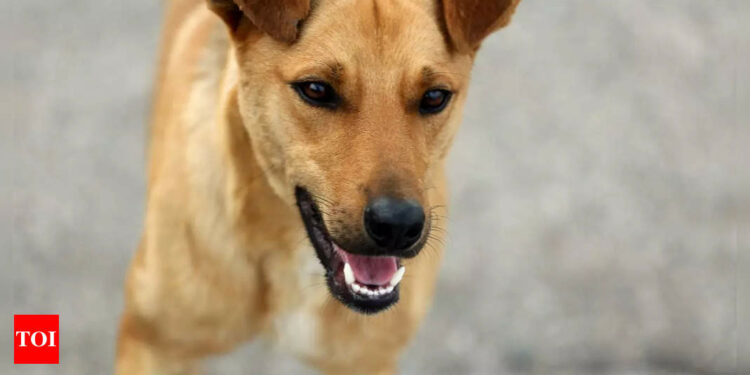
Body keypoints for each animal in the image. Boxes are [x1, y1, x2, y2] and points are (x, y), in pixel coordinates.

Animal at [116, 0, 524, 374]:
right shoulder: (152, 347)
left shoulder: (366, 361)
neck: (292, 262)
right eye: (316, 89)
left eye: (435, 97)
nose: (397, 225)